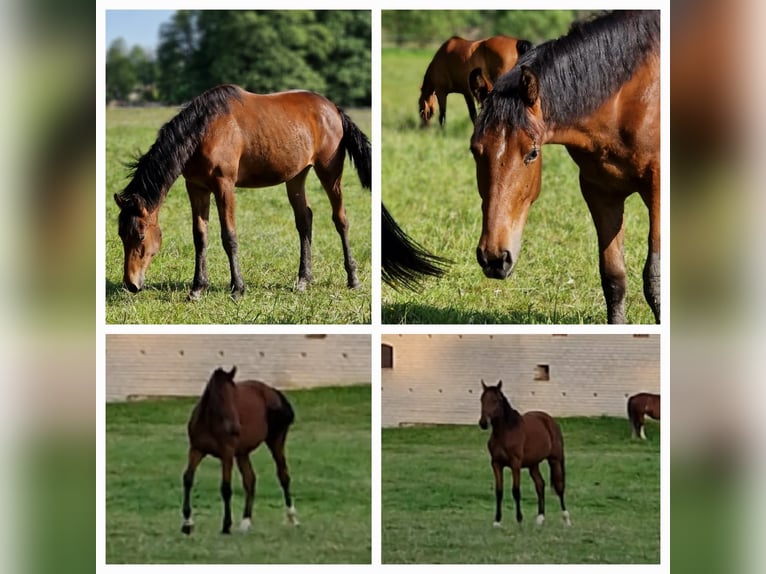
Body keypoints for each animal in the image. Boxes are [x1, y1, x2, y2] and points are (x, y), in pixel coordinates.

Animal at [114, 84, 370, 300]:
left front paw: (237, 288)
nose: (131, 284)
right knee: (304, 219)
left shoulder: (224, 185)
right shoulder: (196, 187)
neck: (205, 130)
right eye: (121, 235)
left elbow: (229, 236)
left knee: (340, 219)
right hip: (296, 176)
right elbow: (200, 236)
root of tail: (333, 109)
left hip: (329, 172)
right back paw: (303, 280)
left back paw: (353, 279)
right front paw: (197, 288)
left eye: (140, 236)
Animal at [181, 366, 298, 535]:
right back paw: (245, 521)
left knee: (283, 475)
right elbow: (188, 479)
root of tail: (274, 392)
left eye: (234, 394)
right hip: (242, 452)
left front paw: (226, 525)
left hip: (276, 440)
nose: (234, 428)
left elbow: (226, 488)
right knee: (250, 480)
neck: (211, 424)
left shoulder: (227, 454)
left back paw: (292, 517)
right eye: (219, 396)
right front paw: (187, 523)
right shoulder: (196, 449)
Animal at [470, 11, 660, 324]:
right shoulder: (600, 193)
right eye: (475, 150)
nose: (494, 258)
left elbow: (654, 278)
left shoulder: (657, 191)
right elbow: (614, 278)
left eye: (532, 153)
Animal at [478, 379, 570, 528]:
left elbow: (516, 491)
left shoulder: (515, 464)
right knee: (540, 485)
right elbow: (499, 491)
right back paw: (540, 518)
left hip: (555, 460)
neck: (506, 433)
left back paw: (566, 519)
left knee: (559, 487)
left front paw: (519, 519)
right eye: (482, 399)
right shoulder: (496, 464)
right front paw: (497, 521)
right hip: (533, 464)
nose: (483, 423)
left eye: (496, 400)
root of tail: (549, 420)